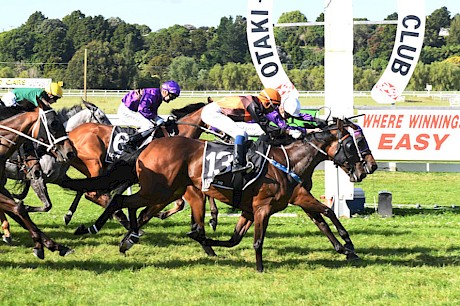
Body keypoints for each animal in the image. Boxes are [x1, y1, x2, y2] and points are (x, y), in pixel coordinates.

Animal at [0, 103, 74, 258]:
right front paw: (39, 245)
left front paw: (55, 246)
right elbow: (19, 208)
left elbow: (19, 211)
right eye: (54, 124)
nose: (70, 152)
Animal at [63, 117, 366, 272]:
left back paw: (127, 236)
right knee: (120, 199)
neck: (287, 160)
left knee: (129, 204)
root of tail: (146, 147)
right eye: (356, 143)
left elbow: (234, 239)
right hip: (158, 189)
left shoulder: (261, 206)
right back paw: (101, 228)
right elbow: (261, 239)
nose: (367, 168)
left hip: (167, 189)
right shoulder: (264, 207)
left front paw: (346, 248)